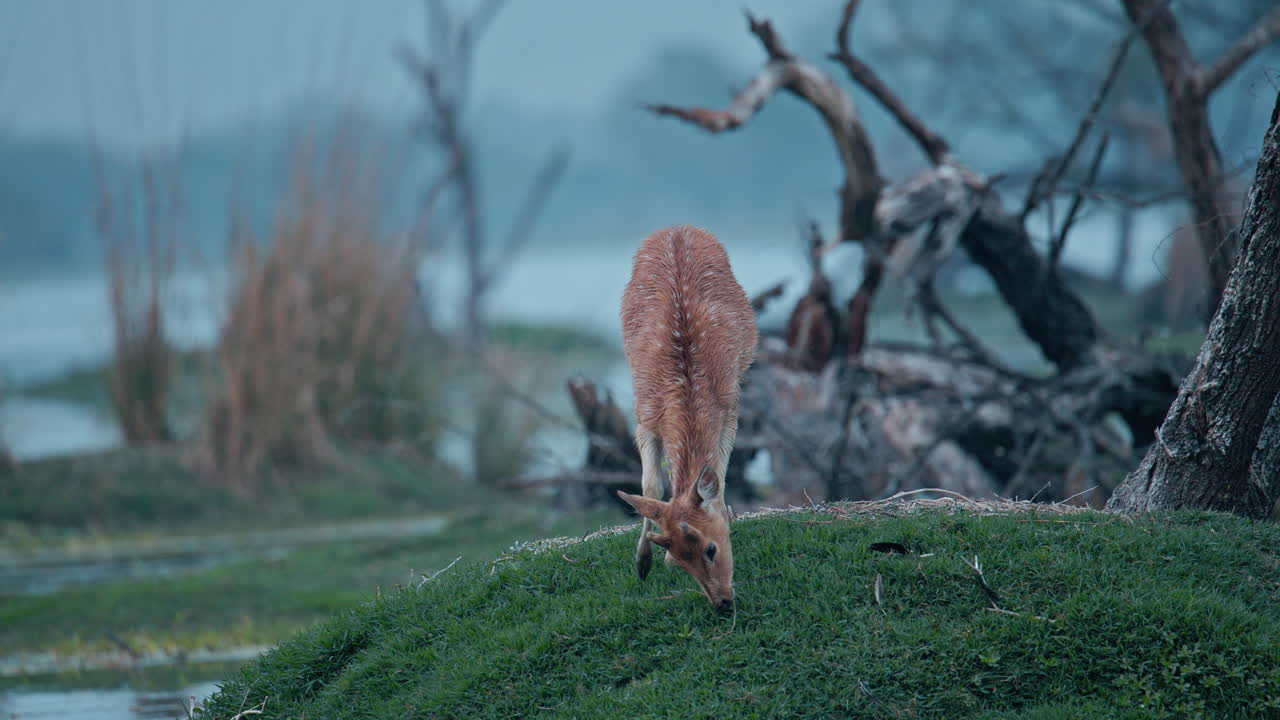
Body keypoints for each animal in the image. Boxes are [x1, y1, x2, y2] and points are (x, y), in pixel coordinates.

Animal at [617, 225, 758, 613]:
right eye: (682, 560)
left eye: (712, 547)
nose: (723, 602)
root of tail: (678, 227)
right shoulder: (645, 416)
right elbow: (652, 486)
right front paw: (643, 562)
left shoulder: (729, 408)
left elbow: (719, 481)